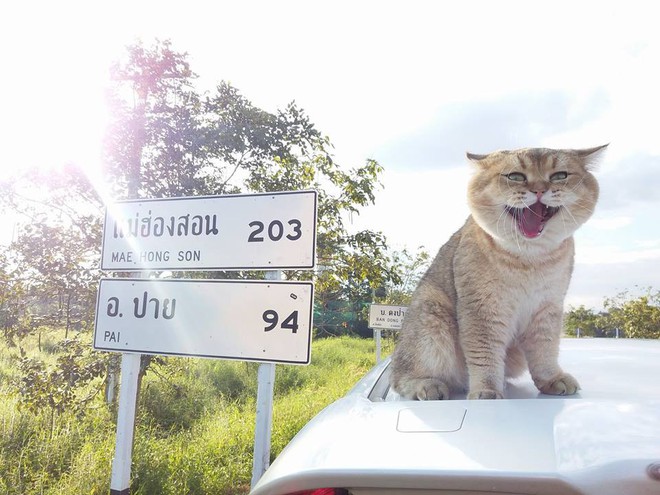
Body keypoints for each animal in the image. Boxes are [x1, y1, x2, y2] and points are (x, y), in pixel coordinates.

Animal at [390, 145, 604, 402]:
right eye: (516, 176)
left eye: (559, 176)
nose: (539, 190)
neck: (529, 258)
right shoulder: (482, 309)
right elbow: (485, 353)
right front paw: (487, 390)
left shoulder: (548, 308)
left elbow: (546, 349)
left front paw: (552, 379)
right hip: (430, 316)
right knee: (399, 376)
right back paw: (427, 385)